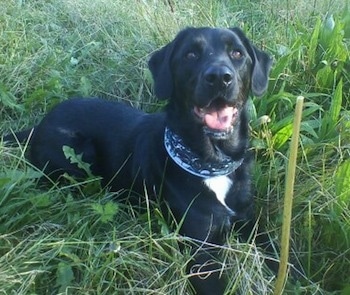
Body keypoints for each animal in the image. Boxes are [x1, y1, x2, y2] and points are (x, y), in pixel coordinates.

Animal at [4, 27, 274, 294]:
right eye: (190, 54)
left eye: (237, 53)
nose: (219, 77)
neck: (211, 164)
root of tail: (39, 125)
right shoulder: (201, 251)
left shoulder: (249, 222)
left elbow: (279, 254)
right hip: (79, 153)